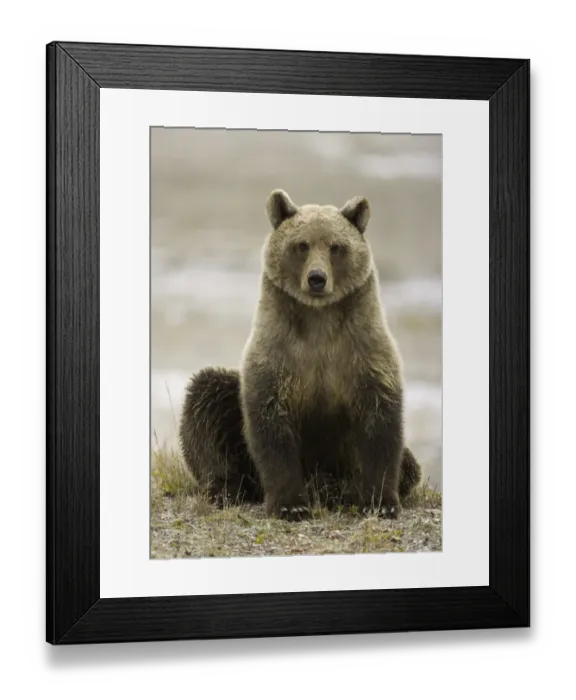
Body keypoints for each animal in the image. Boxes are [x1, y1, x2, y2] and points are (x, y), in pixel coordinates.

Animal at [179, 189, 422, 521]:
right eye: (302, 245)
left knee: (409, 466)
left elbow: (380, 424)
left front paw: (381, 502)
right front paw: (291, 504)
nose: (317, 278)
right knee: (207, 395)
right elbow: (271, 426)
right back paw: (225, 488)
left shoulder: (363, 352)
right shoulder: (278, 355)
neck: (319, 319)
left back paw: (337, 488)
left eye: (336, 246)